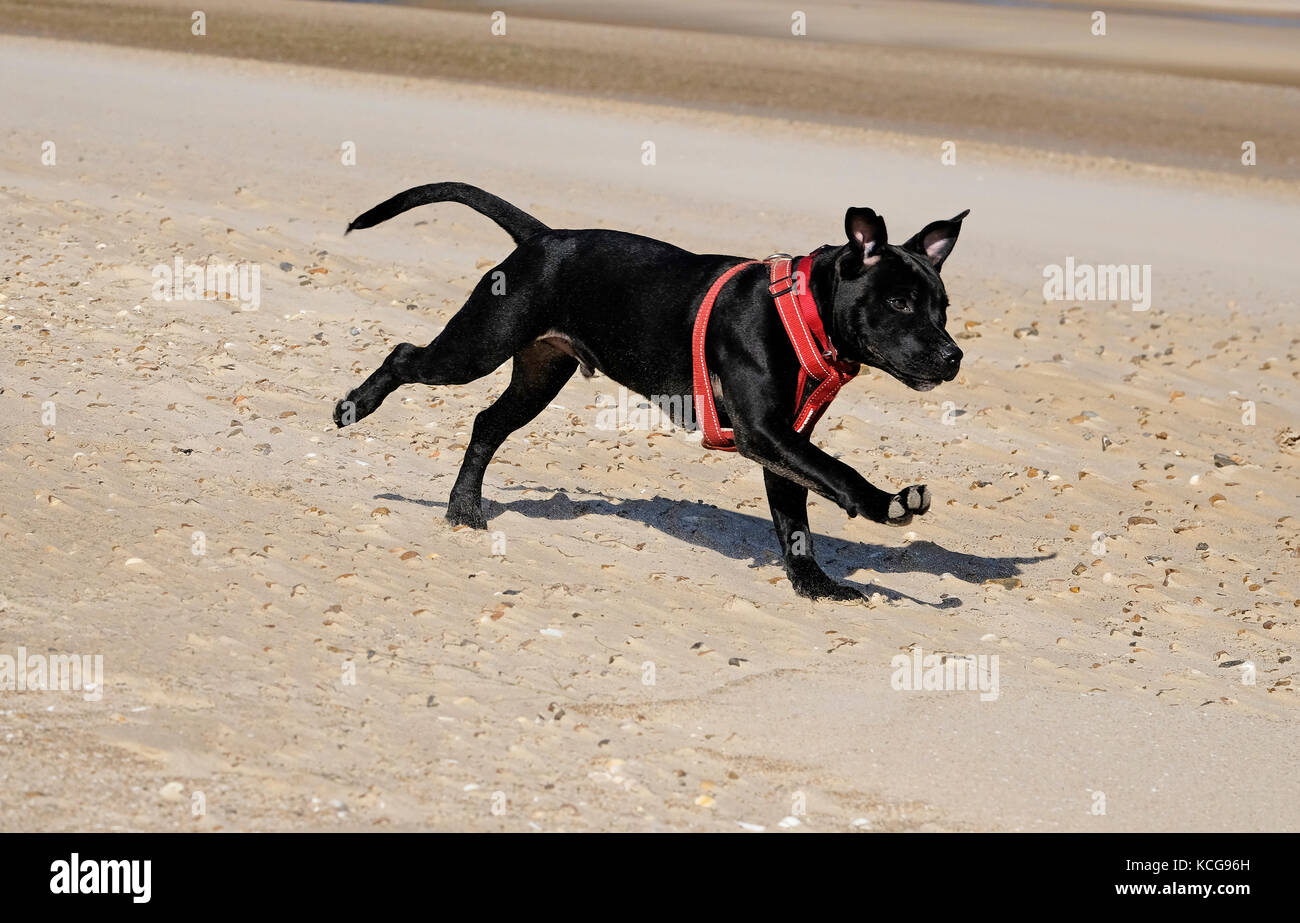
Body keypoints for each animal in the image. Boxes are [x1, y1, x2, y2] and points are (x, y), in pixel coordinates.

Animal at [335, 183, 967, 603]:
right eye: (899, 302)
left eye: (941, 306)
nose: (953, 356)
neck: (802, 310)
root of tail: (542, 237)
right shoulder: (764, 432)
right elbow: (839, 473)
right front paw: (886, 504)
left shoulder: (783, 441)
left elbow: (796, 523)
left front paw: (816, 586)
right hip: (477, 346)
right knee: (404, 356)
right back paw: (355, 407)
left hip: (538, 374)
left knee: (486, 425)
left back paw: (464, 509)